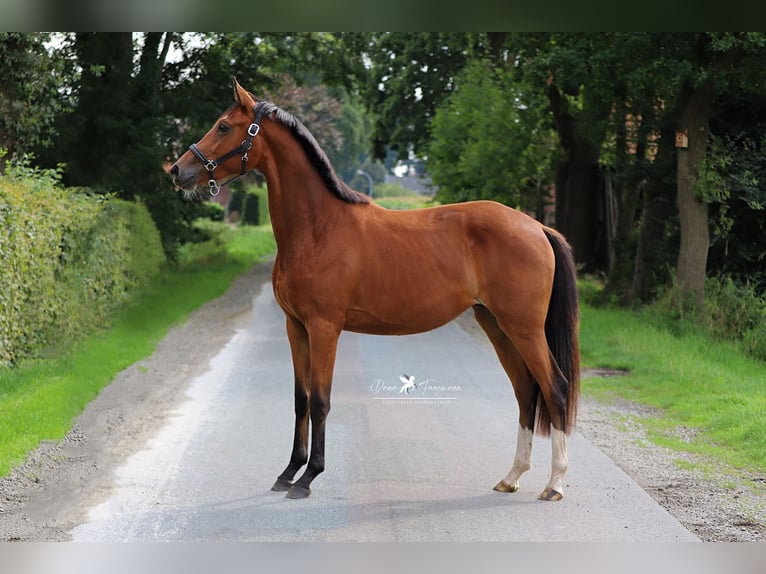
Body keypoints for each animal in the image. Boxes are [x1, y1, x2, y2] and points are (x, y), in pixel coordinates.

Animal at [172, 77, 584, 504]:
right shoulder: (295, 326)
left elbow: (320, 401)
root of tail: (538, 227)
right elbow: (301, 399)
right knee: (525, 391)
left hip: (524, 328)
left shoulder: (324, 328)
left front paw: (308, 477)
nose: (178, 170)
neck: (318, 228)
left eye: (223, 126)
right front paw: (288, 472)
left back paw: (554, 484)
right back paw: (512, 476)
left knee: (555, 389)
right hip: (496, 325)